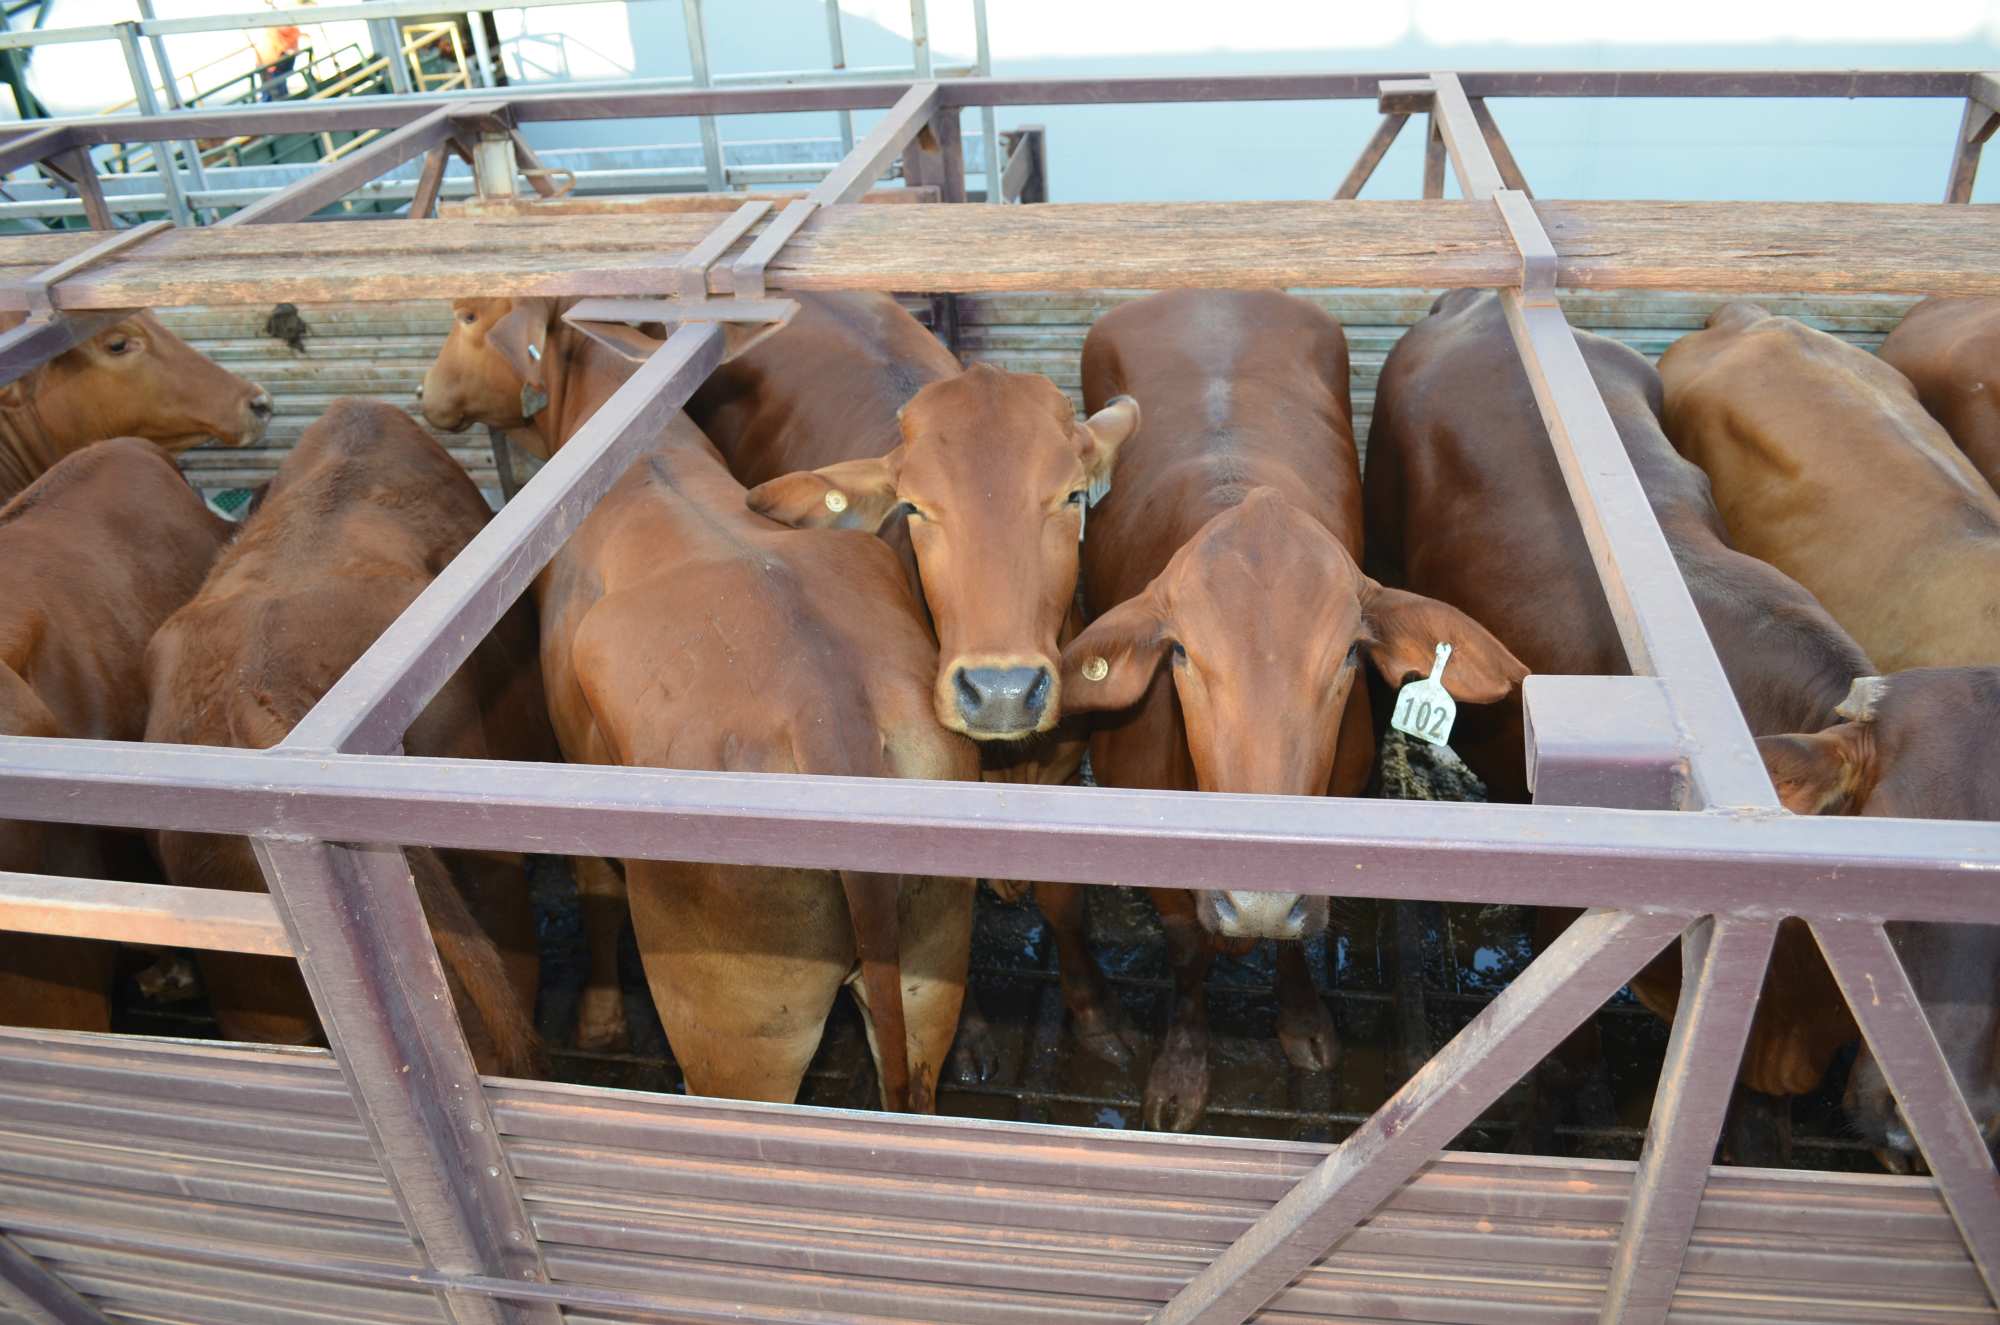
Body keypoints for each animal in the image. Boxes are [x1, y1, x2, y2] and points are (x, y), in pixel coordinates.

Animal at [420, 302, 982, 1110]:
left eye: (467, 314)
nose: (424, 393)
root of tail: (828, 716)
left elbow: (597, 893)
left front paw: (598, 1020)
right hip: (928, 972)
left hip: (736, 1028)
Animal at [1057, 289, 1525, 1130]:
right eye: (1182, 653)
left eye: (1346, 655)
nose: (1261, 897)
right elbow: (1187, 955)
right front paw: (1182, 1065)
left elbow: (1298, 943)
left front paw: (1304, 1020)